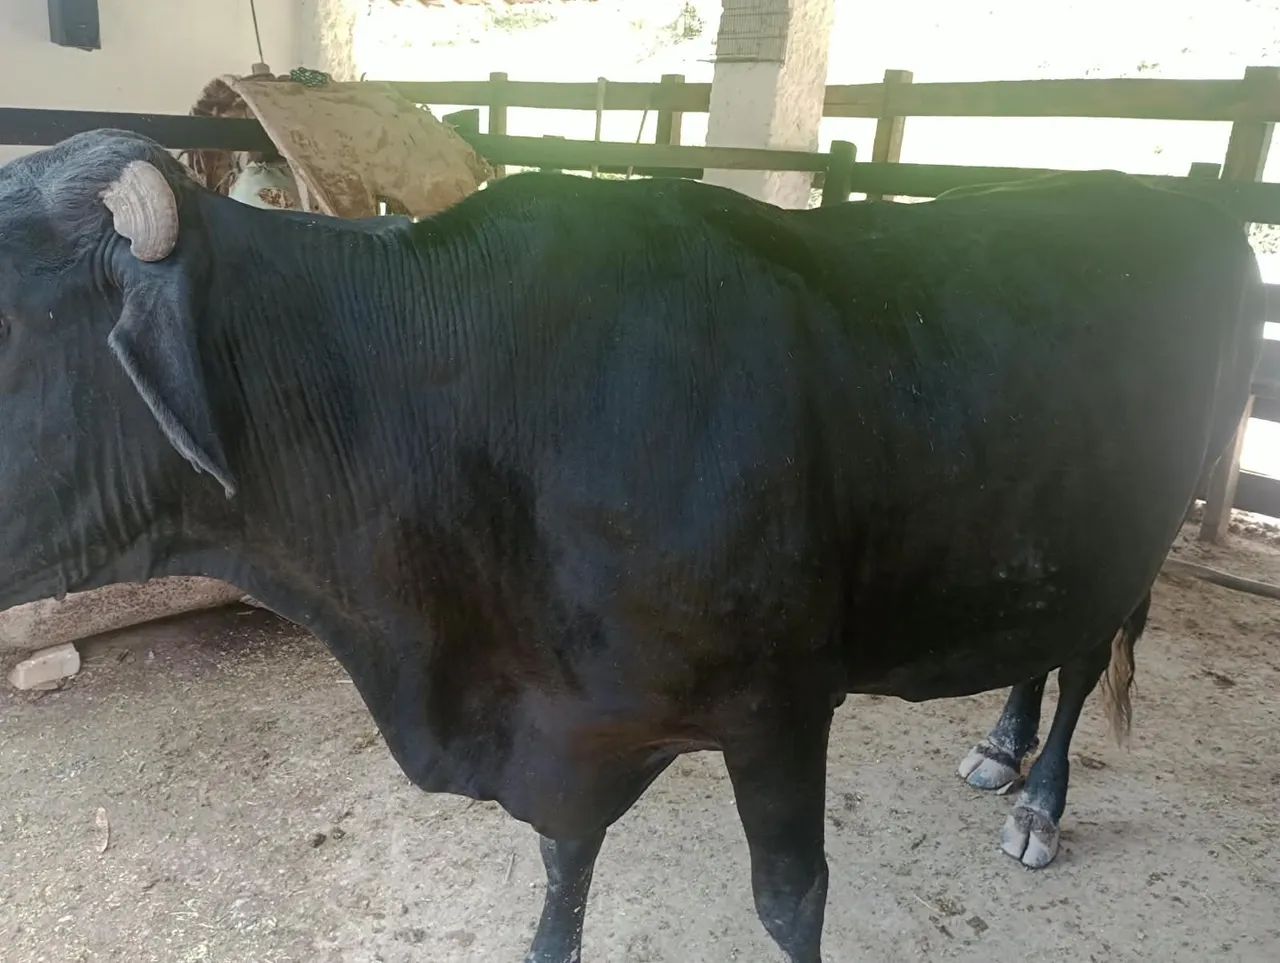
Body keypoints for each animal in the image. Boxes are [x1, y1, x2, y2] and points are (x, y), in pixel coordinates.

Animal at [0, 130, 1262, 963]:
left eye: (8, 319)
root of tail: (1185, 201)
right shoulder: (569, 727)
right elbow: (563, 877)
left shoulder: (778, 706)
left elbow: (789, 900)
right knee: (1037, 640)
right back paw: (997, 747)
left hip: (1140, 530)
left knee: (1088, 656)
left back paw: (1038, 800)